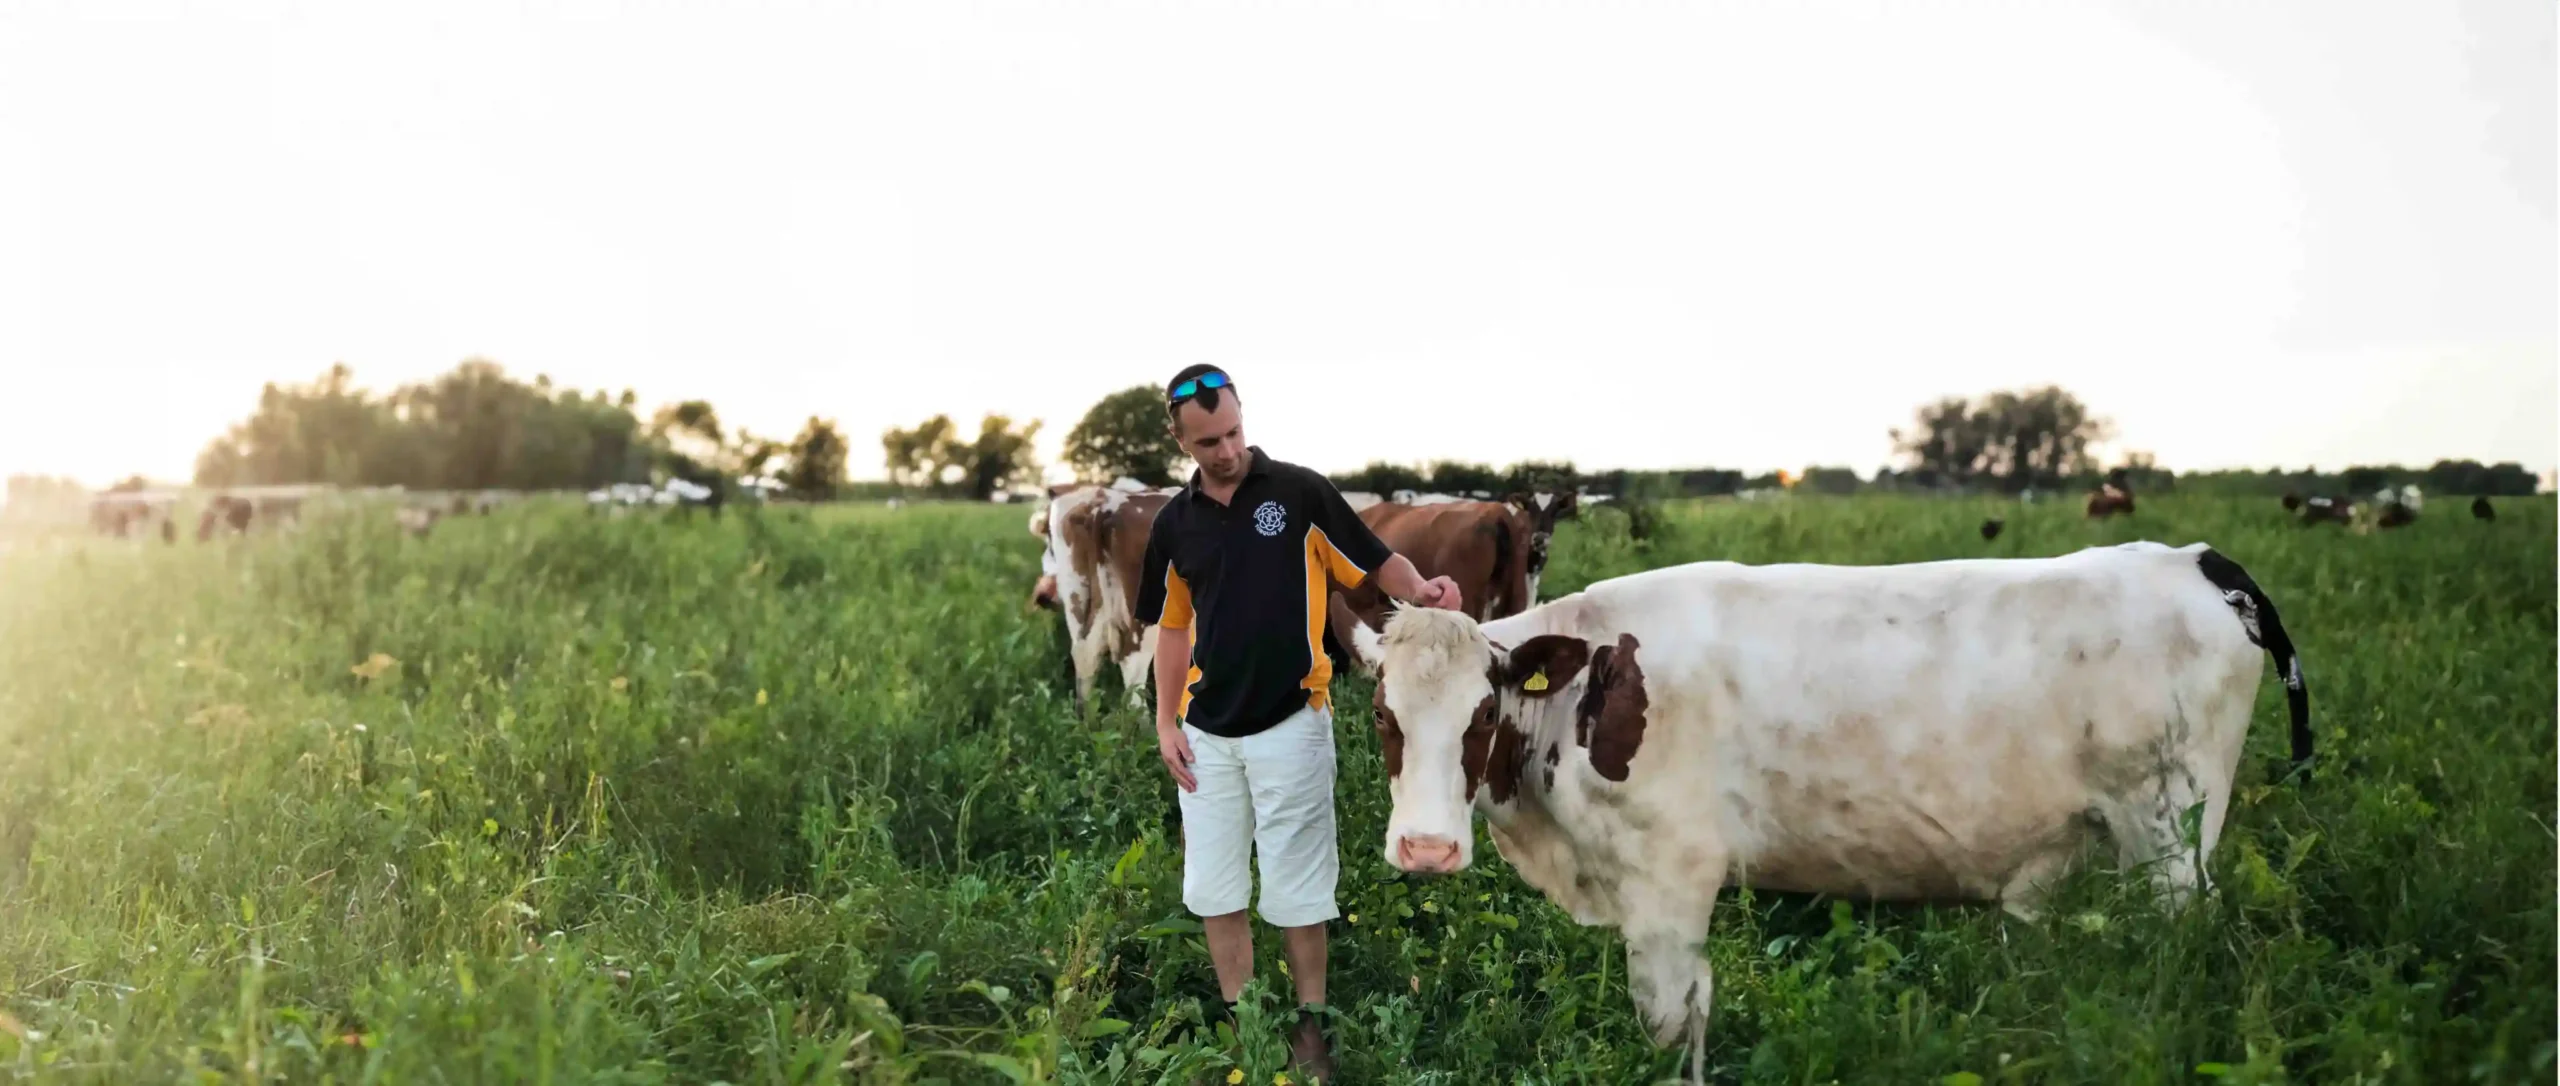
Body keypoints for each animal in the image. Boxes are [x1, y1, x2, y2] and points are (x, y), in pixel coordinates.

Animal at [1331, 543, 2314, 1086]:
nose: (1425, 848)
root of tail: (2191, 558)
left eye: (1481, 715)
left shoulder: (1669, 879)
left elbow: (1672, 1024)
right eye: (1382, 715)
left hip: (2172, 840)